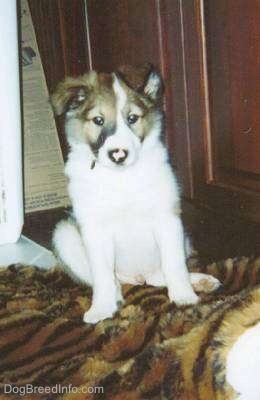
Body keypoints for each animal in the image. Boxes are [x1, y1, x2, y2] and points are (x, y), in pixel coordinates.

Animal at [51, 64, 219, 324]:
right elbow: (102, 275)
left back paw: (199, 281)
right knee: (114, 279)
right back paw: (117, 296)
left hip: (183, 239)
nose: (118, 154)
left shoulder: (167, 218)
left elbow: (174, 266)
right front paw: (102, 308)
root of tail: (140, 276)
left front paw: (184, 296)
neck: (122, 178)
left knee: (160, 275)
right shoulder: (93, 228)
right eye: (98, 120)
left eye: (132, 118)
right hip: (64, 235)